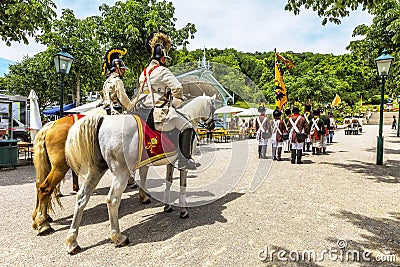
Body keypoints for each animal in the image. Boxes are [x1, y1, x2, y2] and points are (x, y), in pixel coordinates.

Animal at [31, 108, 106, 236]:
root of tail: (51, 125)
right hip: (59, 167)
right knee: (45, 188)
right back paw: (42, 224)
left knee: (39, 185)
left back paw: (41, 217)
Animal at [65, 95, 216, 254]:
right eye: (213, 107)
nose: (212, 125)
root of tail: (103, 120)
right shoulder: (182, 164)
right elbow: (182, 185)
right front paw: (183, 211)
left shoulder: (170, 162)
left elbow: (168, 182)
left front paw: (167, 206)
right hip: (121, 172)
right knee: (112, 200)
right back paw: (118, 237)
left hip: (96, 170)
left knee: (82, 198)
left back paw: (72, 242)